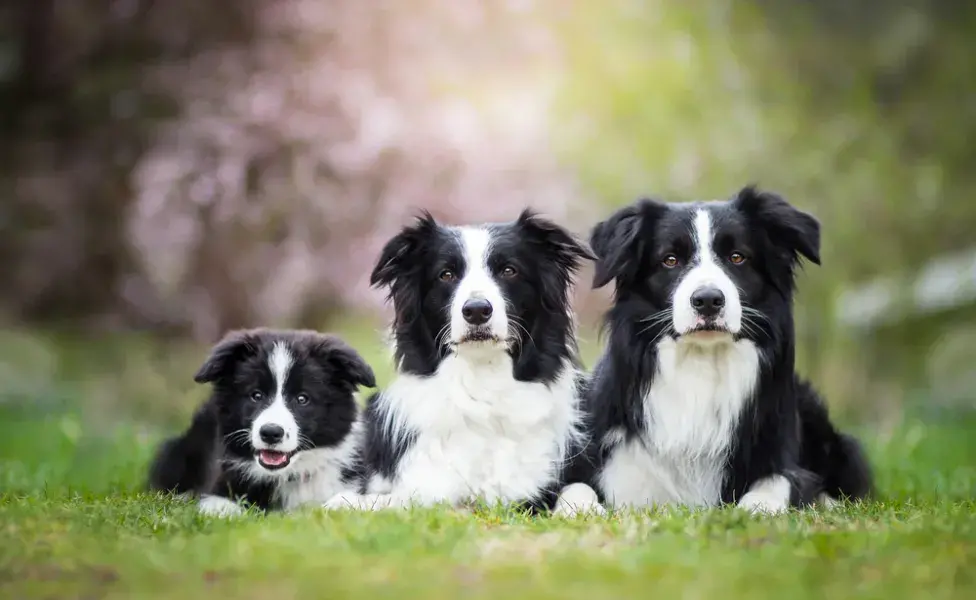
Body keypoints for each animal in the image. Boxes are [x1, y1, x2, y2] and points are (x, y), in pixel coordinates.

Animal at [324, 209, 600, 512]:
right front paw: (347, 500)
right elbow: (400, 498)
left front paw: (582, 509)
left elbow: (579, 488)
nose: (477, 310)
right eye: (446, 274)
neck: (483, 381)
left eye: (509, 271)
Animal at [576, 186, 872, 510]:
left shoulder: (779, 455)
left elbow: (777, 482)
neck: (702, 365)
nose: (708, 300)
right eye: (670, 260)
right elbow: (578, 488)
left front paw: (754, 509)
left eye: (737, 257)